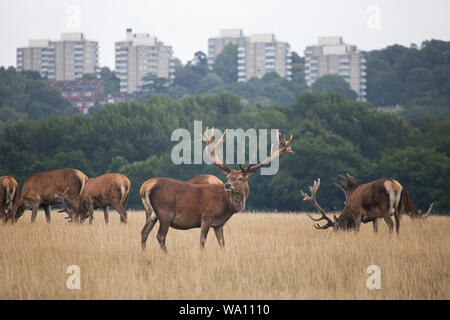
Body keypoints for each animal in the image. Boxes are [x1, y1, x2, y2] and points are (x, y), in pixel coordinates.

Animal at [142, 127, 296, 250]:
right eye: (228, 178)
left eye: (241, 178)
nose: (227, 185)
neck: (227, 206)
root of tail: (146, 187)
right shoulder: (206, 216)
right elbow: (202, 242)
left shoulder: (219, 224)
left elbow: (222, 243)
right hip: (165, 212)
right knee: (160, 236)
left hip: (151, 213)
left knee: (144, 232)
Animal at [300, 175, 434, 235]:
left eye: (336, 227)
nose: (335, 236)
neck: (349, 209)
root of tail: (394, 185)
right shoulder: (375, 217)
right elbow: (375, 231)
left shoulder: (357, 214)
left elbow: (357, 230)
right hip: (398, 209)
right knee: (398, 224)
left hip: (385, 208)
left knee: (391, 223)